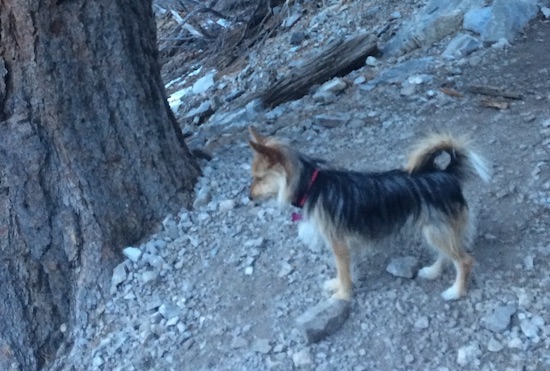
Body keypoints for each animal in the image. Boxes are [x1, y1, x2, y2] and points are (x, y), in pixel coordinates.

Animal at [250, 127, 492, 302]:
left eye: (259, 178)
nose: (250, 198)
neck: (311, 188)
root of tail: (446, 174)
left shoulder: (338, 244)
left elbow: (343, 270)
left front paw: (343, 295)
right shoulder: (347, 244)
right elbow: (347, 269)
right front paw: (340, 284)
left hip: (437, 230)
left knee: (464, 261)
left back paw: (455, 292)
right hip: (435, 230)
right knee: (446, 254)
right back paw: (432, 271)